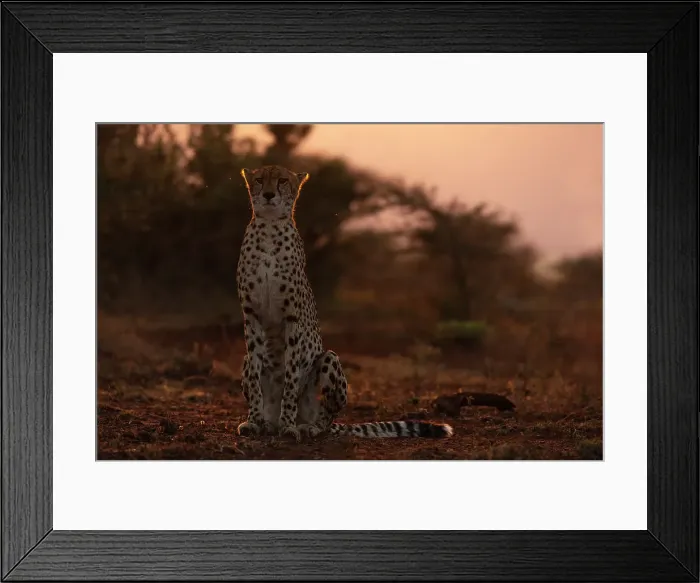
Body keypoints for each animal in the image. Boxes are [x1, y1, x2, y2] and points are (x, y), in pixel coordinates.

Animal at [235, 164, 453, 442]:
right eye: (260, 180)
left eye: (282, 180)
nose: (269, 194)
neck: (270, 229)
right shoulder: (251, 314)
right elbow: (255, 375)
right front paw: (253, 421)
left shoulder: (292, 317)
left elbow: (291, 376)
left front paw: (288, 426)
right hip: (246, 360)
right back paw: (269, 422)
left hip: (329, 360)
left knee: (328, 414)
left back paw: (308, 427)